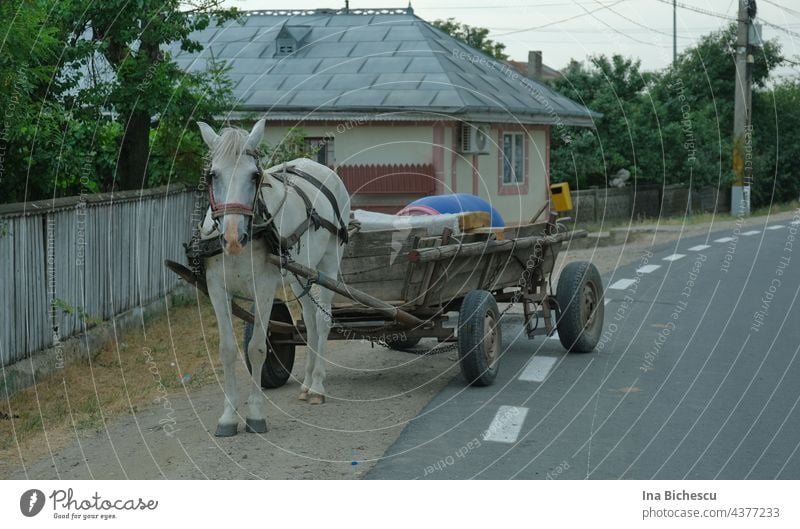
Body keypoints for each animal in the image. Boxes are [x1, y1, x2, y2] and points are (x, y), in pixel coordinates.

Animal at [195, 119, 348, 438]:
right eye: (213, 175)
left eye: (255, 176)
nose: (232, 238)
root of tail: (319, 167)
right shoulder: (216, 288)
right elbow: (227, 350)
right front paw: (228, 417)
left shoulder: (264, 287)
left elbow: (257, 348)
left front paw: (255, 414)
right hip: (300, 275)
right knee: (310, 323)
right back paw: (306, 384)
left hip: (328, 264)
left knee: (323, 322)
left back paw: (317, 385)